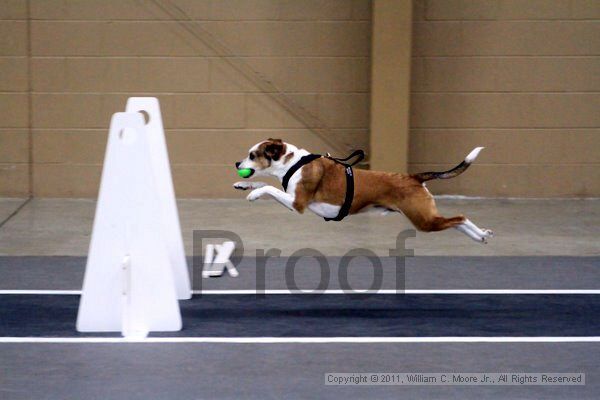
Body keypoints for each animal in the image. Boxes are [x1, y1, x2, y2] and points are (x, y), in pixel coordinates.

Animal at [233, 139, 492, 242]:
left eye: (252, 155)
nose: (237, 164)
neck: (294, 163)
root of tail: (413, 177)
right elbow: (264, 183)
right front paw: (244, 185)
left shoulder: (296, 204)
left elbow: (268, 187)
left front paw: (253, 193)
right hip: (428, 218)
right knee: (456, 222)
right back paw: (480, 236)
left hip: (423, 220)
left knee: (460, 218)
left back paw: (479, 234)